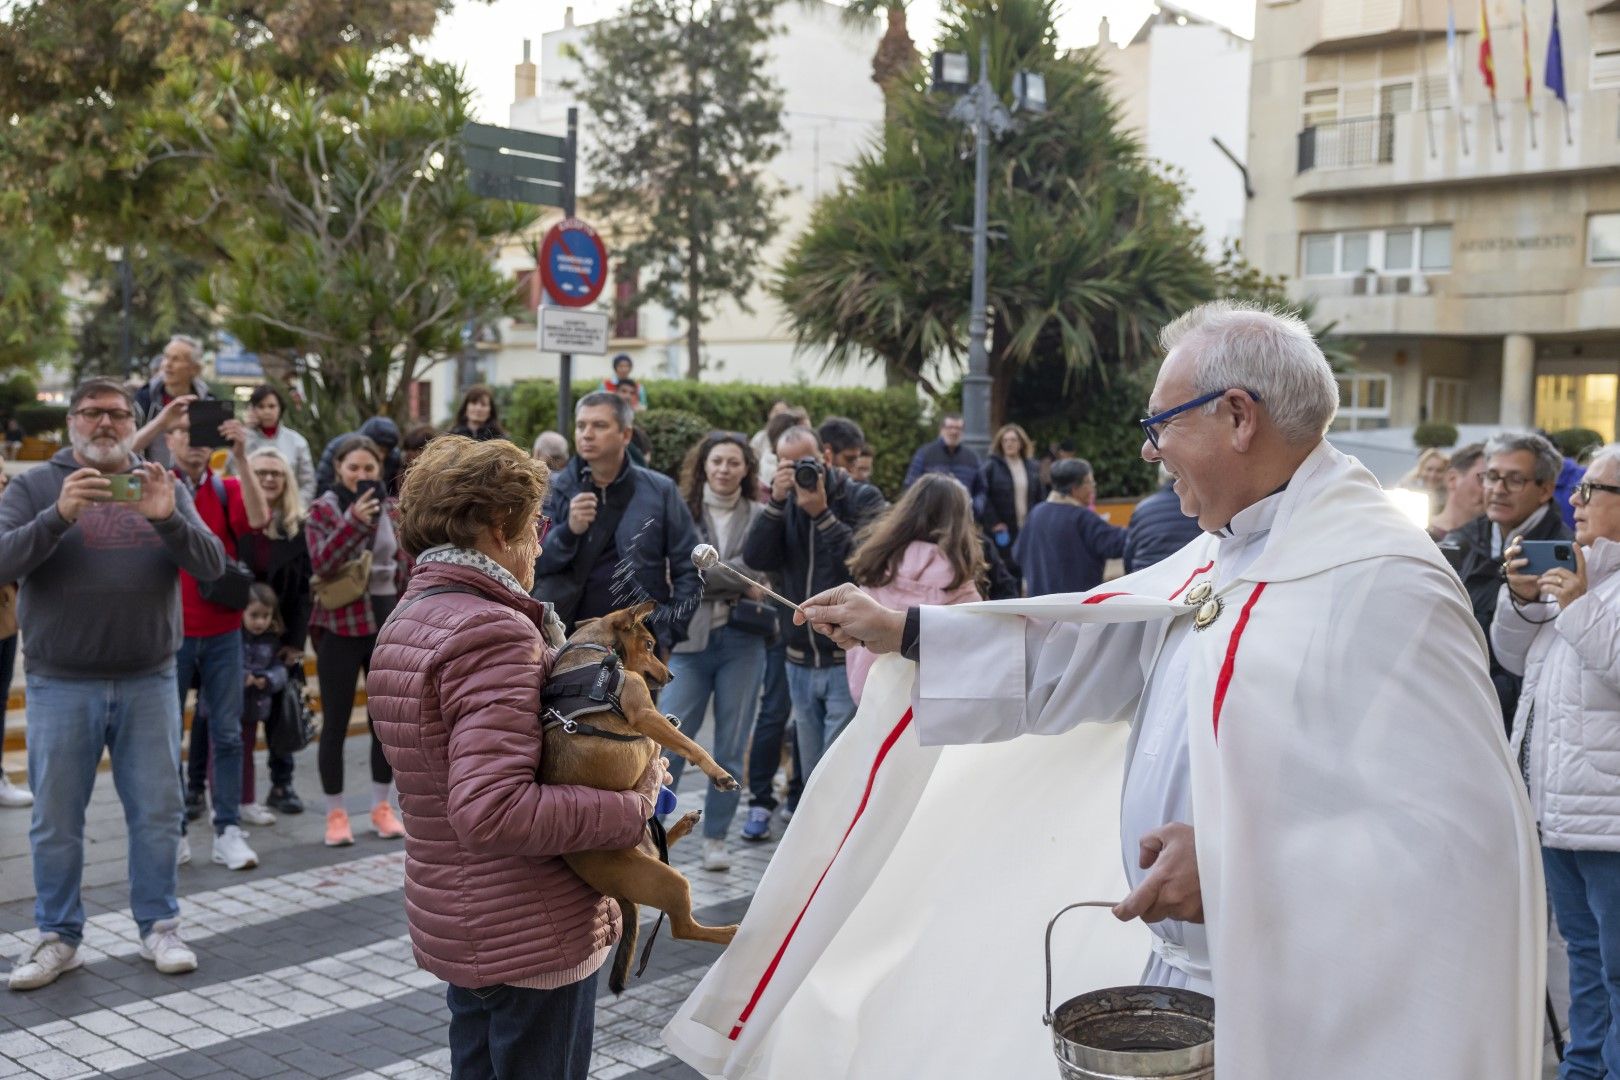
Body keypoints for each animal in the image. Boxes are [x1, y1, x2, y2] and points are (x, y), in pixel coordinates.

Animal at [544, 605, 745, 990]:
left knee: (662, 839)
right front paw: (720, 774)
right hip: (669, 880)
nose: (671, 674)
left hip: (655, 860)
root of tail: (618, 894)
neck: (596, 650)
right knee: (683, 928)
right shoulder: (645, 713)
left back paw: (684, 823)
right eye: (650, 644)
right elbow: (693, 745)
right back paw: (729, 932)